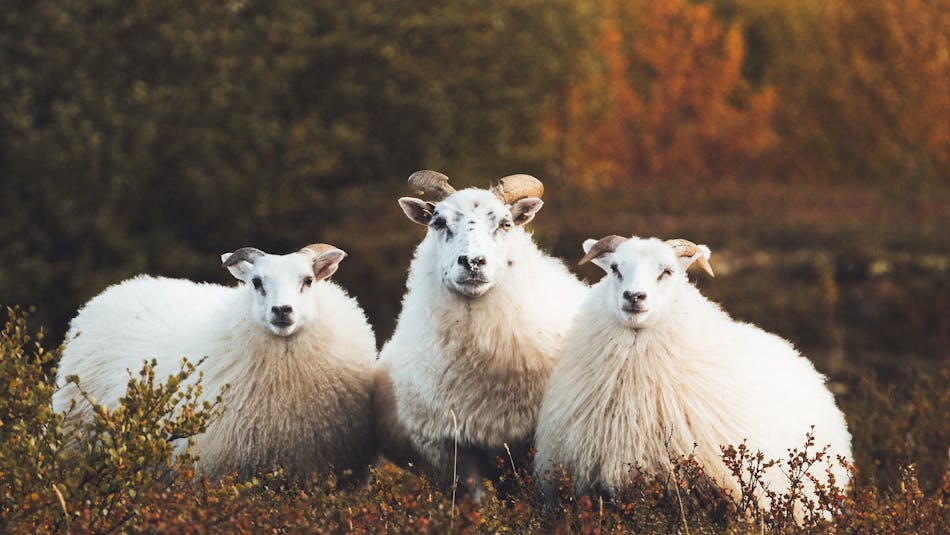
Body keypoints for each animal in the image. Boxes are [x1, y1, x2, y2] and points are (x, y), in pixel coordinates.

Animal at [376, 171, 592, 498]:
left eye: (506, 223)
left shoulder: (526, 443)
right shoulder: (455, 445)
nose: (473, 262)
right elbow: (476, 498)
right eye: (438, 222)